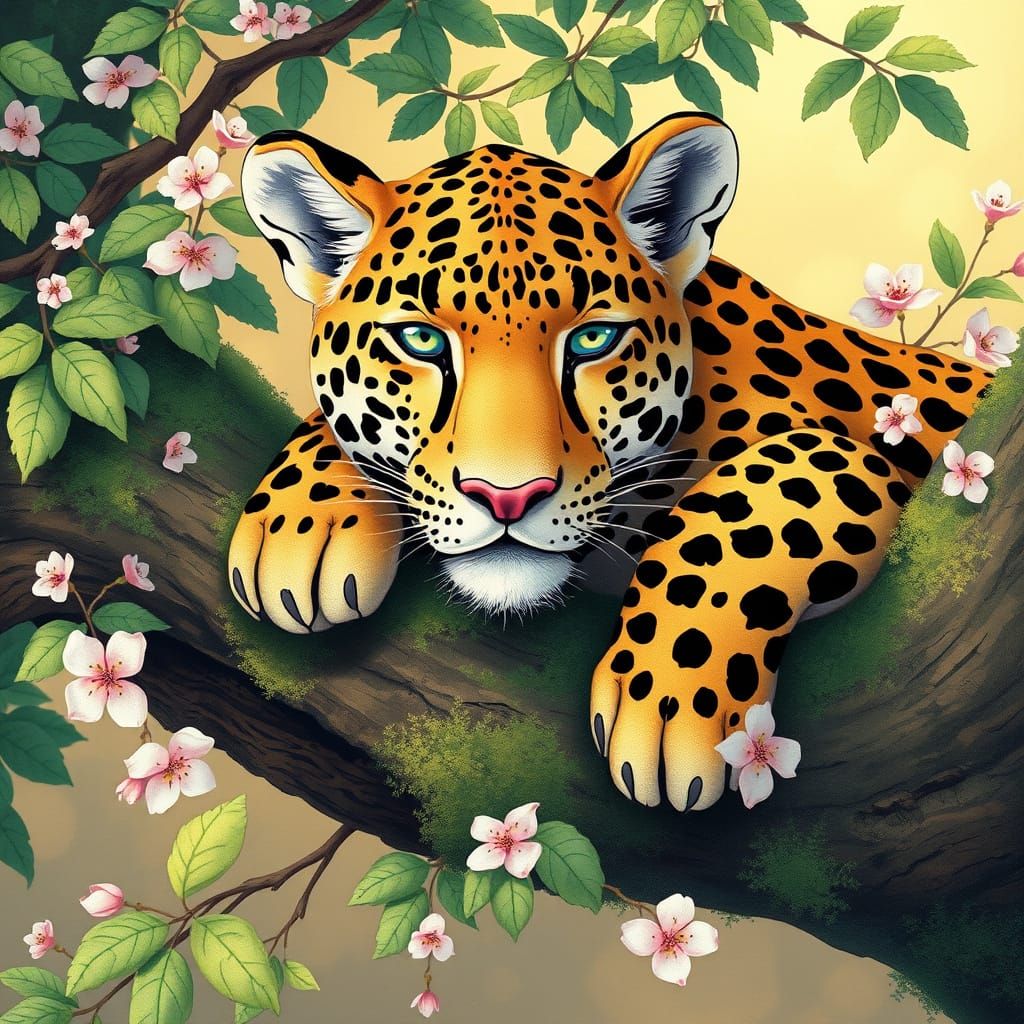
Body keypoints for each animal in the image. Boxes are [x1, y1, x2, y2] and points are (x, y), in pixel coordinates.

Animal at [227, 112, 992, 813]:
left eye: (593, 339)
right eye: (420, 340)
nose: (507, 497)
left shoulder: (882, 451)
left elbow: (758, 488)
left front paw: (672, 698)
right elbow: (337, 423)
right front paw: (296, 528)